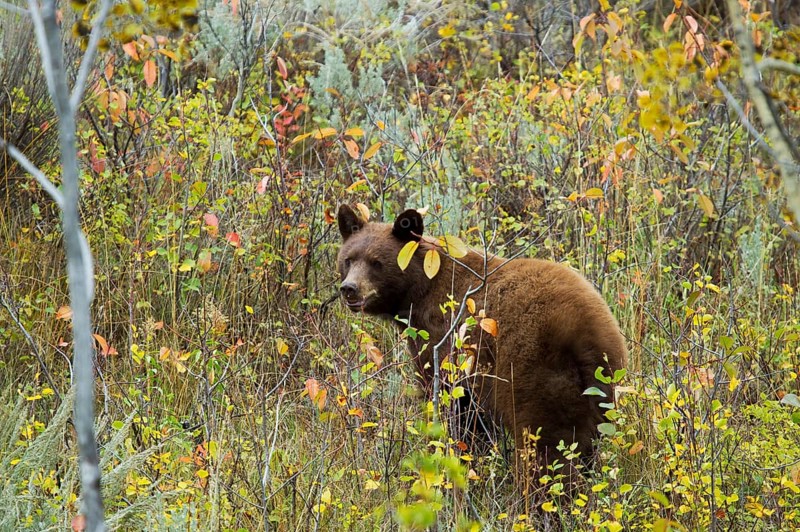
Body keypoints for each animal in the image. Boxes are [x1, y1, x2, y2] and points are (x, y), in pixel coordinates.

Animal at [336, 204, 627, 488]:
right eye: (348, 259)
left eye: (376, 262)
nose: (349, 288)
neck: (420, 288)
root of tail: (588, 332)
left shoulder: (443, 340)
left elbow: (456, 410)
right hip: (603, 388)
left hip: (535, 372)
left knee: (545, 447)